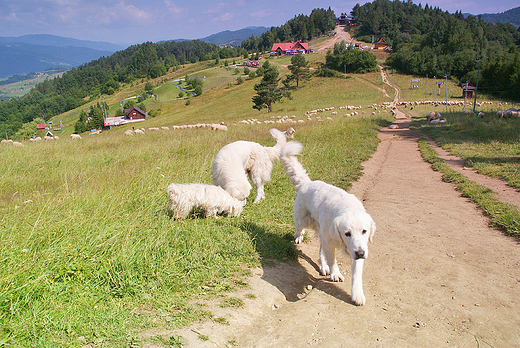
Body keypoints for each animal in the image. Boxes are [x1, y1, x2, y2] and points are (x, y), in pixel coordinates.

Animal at [282, 141, 376, 304]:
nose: (360, 253)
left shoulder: (358, 247)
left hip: (321, 232)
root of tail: (307, 183)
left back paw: (323, 266)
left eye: (364, 231)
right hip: (303, 220)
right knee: (299, 228)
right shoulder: (331, 243)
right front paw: (335, 273)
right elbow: (333, 261)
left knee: (321, 250)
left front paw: (357, 294)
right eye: (347, 233)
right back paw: (299, 237)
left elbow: (357, 273)